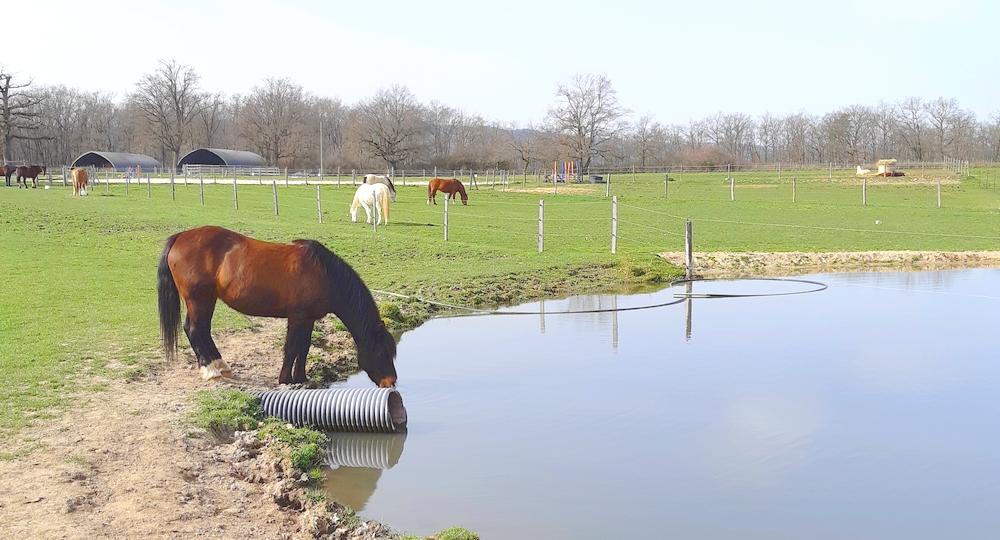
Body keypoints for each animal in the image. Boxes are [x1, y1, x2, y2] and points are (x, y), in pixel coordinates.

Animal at [158, 226, 396, 386]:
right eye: (382, 352)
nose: (391, 382)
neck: (325, 275)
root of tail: (180, 237)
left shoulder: (308, 319)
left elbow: (304, 347)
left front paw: (301, 377)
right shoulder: (297, 317)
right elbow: (291, 347)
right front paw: (285, 379)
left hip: (206, 300)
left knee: (201, 330)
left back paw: (219, 366)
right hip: (199, 299)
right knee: (195, 329)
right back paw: (211, 370)